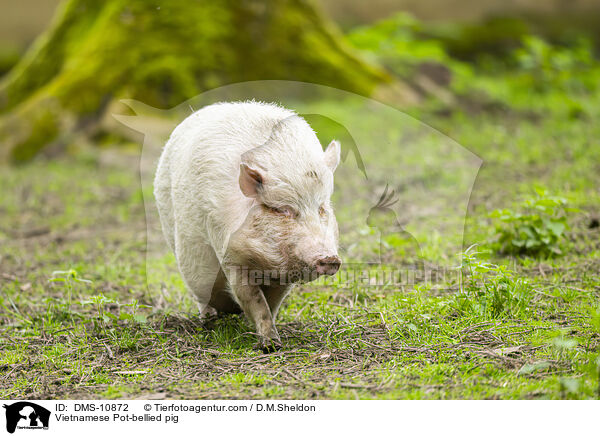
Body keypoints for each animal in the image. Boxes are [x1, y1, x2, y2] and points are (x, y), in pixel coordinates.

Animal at [154, 101, 342, 350]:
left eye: (321, 208)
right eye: (282, 209)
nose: (330, 258)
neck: (265, 263)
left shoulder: (284, 275)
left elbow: (271, 303)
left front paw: (271, 338)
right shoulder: (230, 257)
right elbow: (253, 300)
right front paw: (270, 345)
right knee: (201, 292)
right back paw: (209, 319)